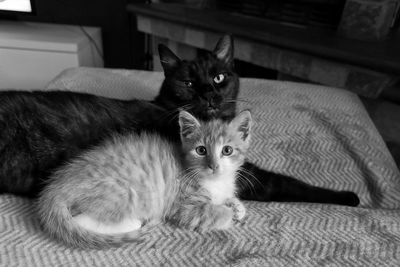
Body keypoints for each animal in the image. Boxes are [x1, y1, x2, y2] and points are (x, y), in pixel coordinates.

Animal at [36, 110, 250, 249]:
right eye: (201, 150)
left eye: (227, 150)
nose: (214, 166)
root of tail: (55, 188)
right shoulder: (184, 207)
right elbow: (213, 212)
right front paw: (229, 212)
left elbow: (227, 199)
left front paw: (237, 206)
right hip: (124, 192)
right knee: (81, 218)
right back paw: (134, 223)